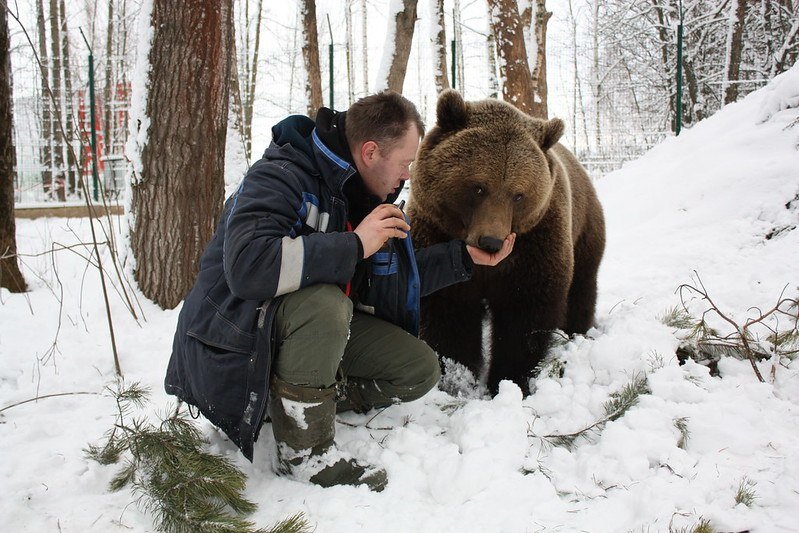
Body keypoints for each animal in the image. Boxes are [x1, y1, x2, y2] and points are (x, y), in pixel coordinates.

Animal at [410, 89, 604, 392]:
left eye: (518, 194)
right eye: (478, 187)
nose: (491, 242)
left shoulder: (535, 242)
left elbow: (524, 314)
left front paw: (509, 378)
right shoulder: (434, 229)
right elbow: (447, 308)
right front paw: (457, 374)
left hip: (584, 231)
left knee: (581, 287)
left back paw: (576, 331)